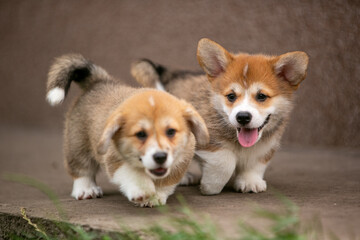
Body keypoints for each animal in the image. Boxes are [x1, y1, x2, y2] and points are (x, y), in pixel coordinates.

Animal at [45, 54, 208, 206]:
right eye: (140, 134)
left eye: (171, 132)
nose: (160, 157)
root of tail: (99, 80)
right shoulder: (115, 160)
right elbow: (132, 174)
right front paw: (142, 191)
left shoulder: (180, 162)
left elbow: (166, 182)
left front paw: (156, 197)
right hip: (78, 144)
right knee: (82, 170)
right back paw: (86, 189)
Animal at [131, 37, 308, 195]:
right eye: (231, 96)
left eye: (261, 96)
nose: (243, 117)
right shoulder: (207, 141)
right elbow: (225, 160)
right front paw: (211, 186)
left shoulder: (266, 146)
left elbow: (256, 163)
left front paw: (250, 181)